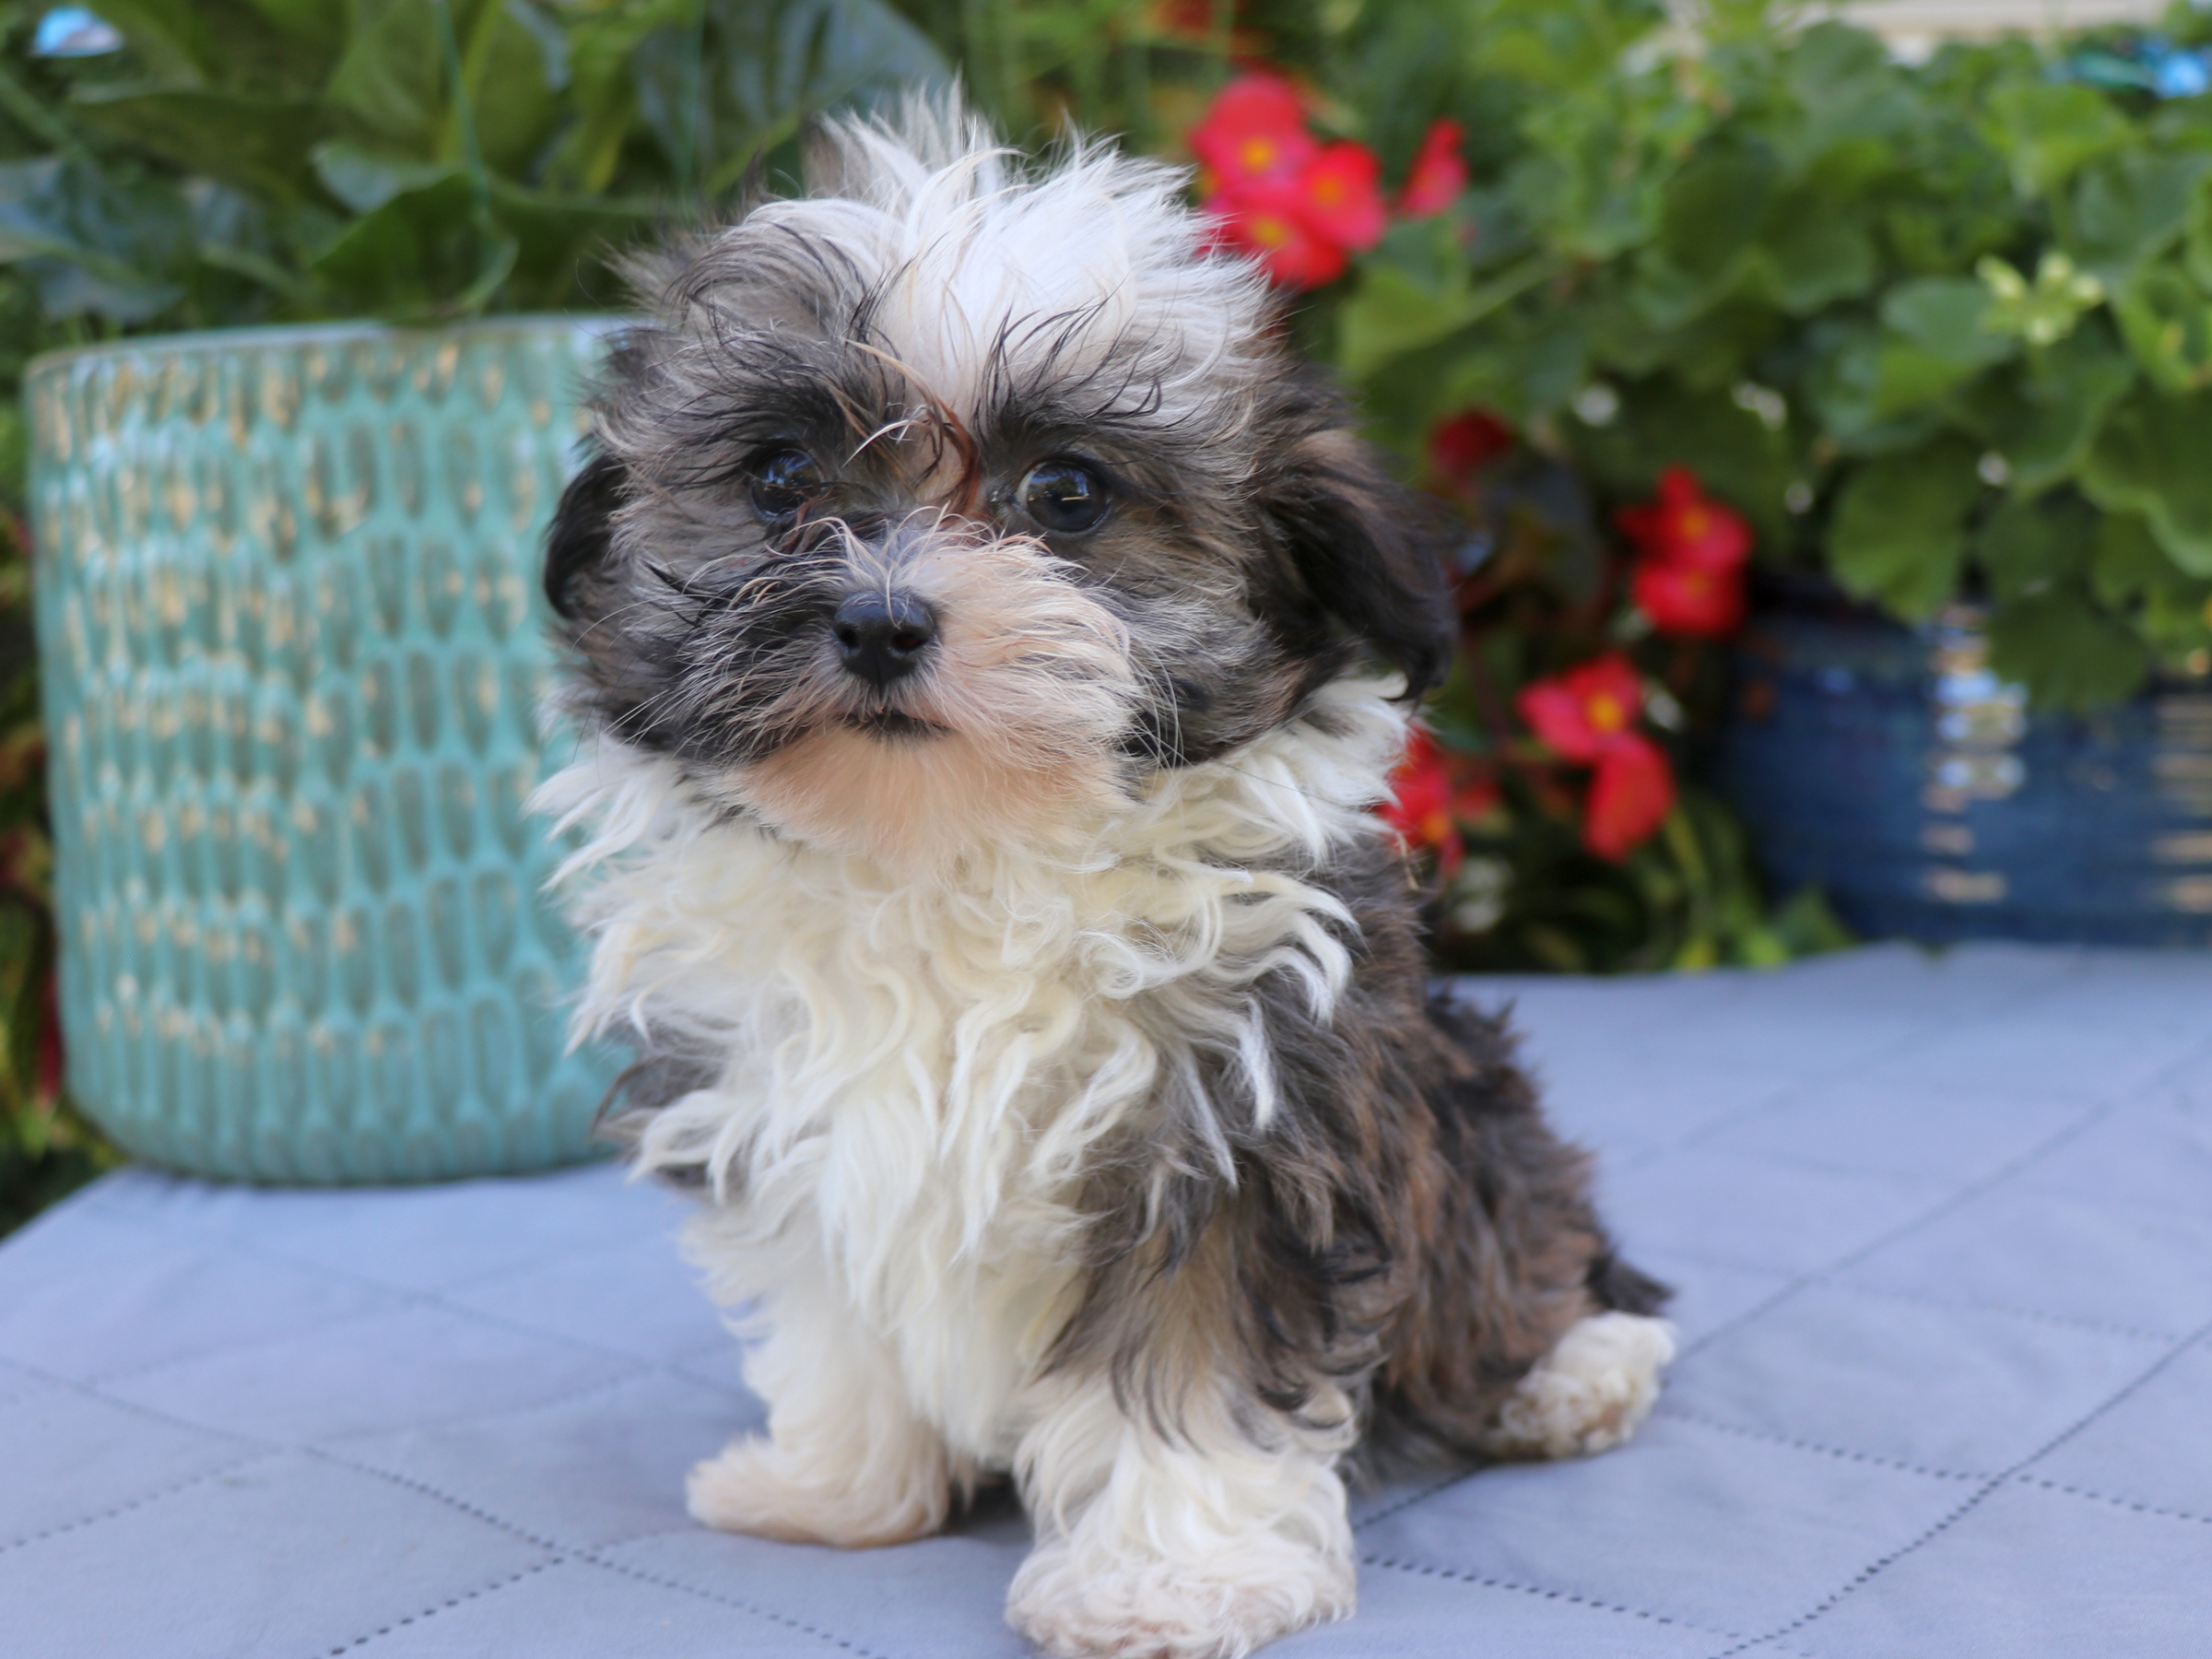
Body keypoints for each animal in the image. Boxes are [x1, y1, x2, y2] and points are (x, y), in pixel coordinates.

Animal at [534, 99, 1674, 1659]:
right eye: (776, 480)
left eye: (1068, 497)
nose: (880, 620)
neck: (953, 852)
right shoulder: (782, 1102)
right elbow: (834, 1308)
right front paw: (841, 1487)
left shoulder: (1243, 1113)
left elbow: (1190, 1356)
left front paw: (1168, 1578)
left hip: (1475, 1120)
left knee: (1530, 1234)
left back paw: (1573, 1370)